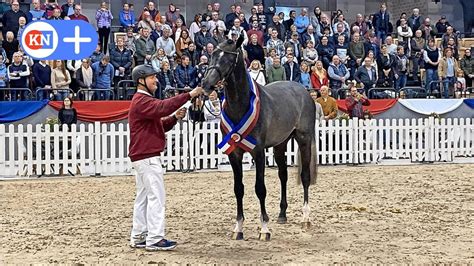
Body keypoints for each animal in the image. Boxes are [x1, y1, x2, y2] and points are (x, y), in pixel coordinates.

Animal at [202, 35, 316, 241]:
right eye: (213, 54)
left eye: (229, 58)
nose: (206, 84)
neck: (241, 106)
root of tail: (303, 90)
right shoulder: (234, 153)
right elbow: (238, 189)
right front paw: (238, 228)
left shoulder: (258, 152)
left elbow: (260, 188)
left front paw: (264, 229)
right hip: (280, 144)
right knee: (283, 175)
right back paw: (282, 214)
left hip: (304, 139)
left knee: (305, 177)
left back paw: (305, 218)